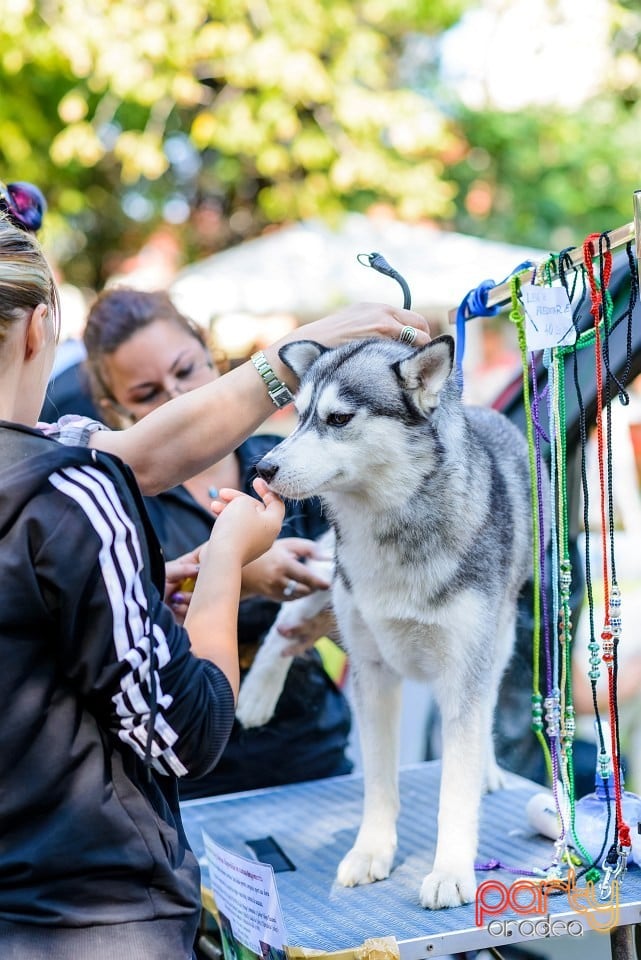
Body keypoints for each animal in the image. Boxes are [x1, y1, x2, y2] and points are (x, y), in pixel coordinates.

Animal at [252, 336, 532, 908]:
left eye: (338, 419)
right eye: (298, 414)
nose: (263, 468)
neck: (392, 526)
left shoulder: (464, 673)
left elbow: (456, 788)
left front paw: (451, 870)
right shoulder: (372, 672)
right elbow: (379, 782)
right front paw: (371, 851)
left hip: (499, 640)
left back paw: (489, 769)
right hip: (326, 571)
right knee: (289, 617)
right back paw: (255, 695)